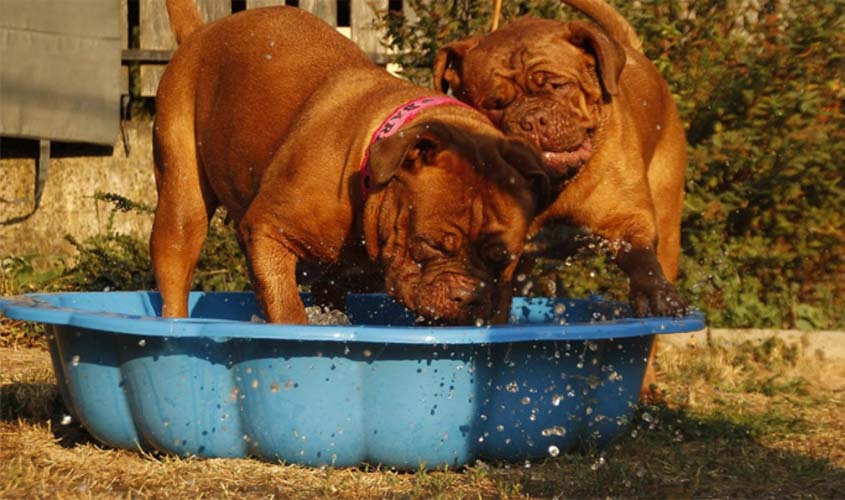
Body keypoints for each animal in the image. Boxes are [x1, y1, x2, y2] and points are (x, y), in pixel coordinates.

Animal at [150, 0, 548, 324]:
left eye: (502, 259)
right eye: (431, 244)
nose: (469, 297)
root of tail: (202, 31)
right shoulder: (266, 230)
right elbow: (287, 309)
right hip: (181, 205)